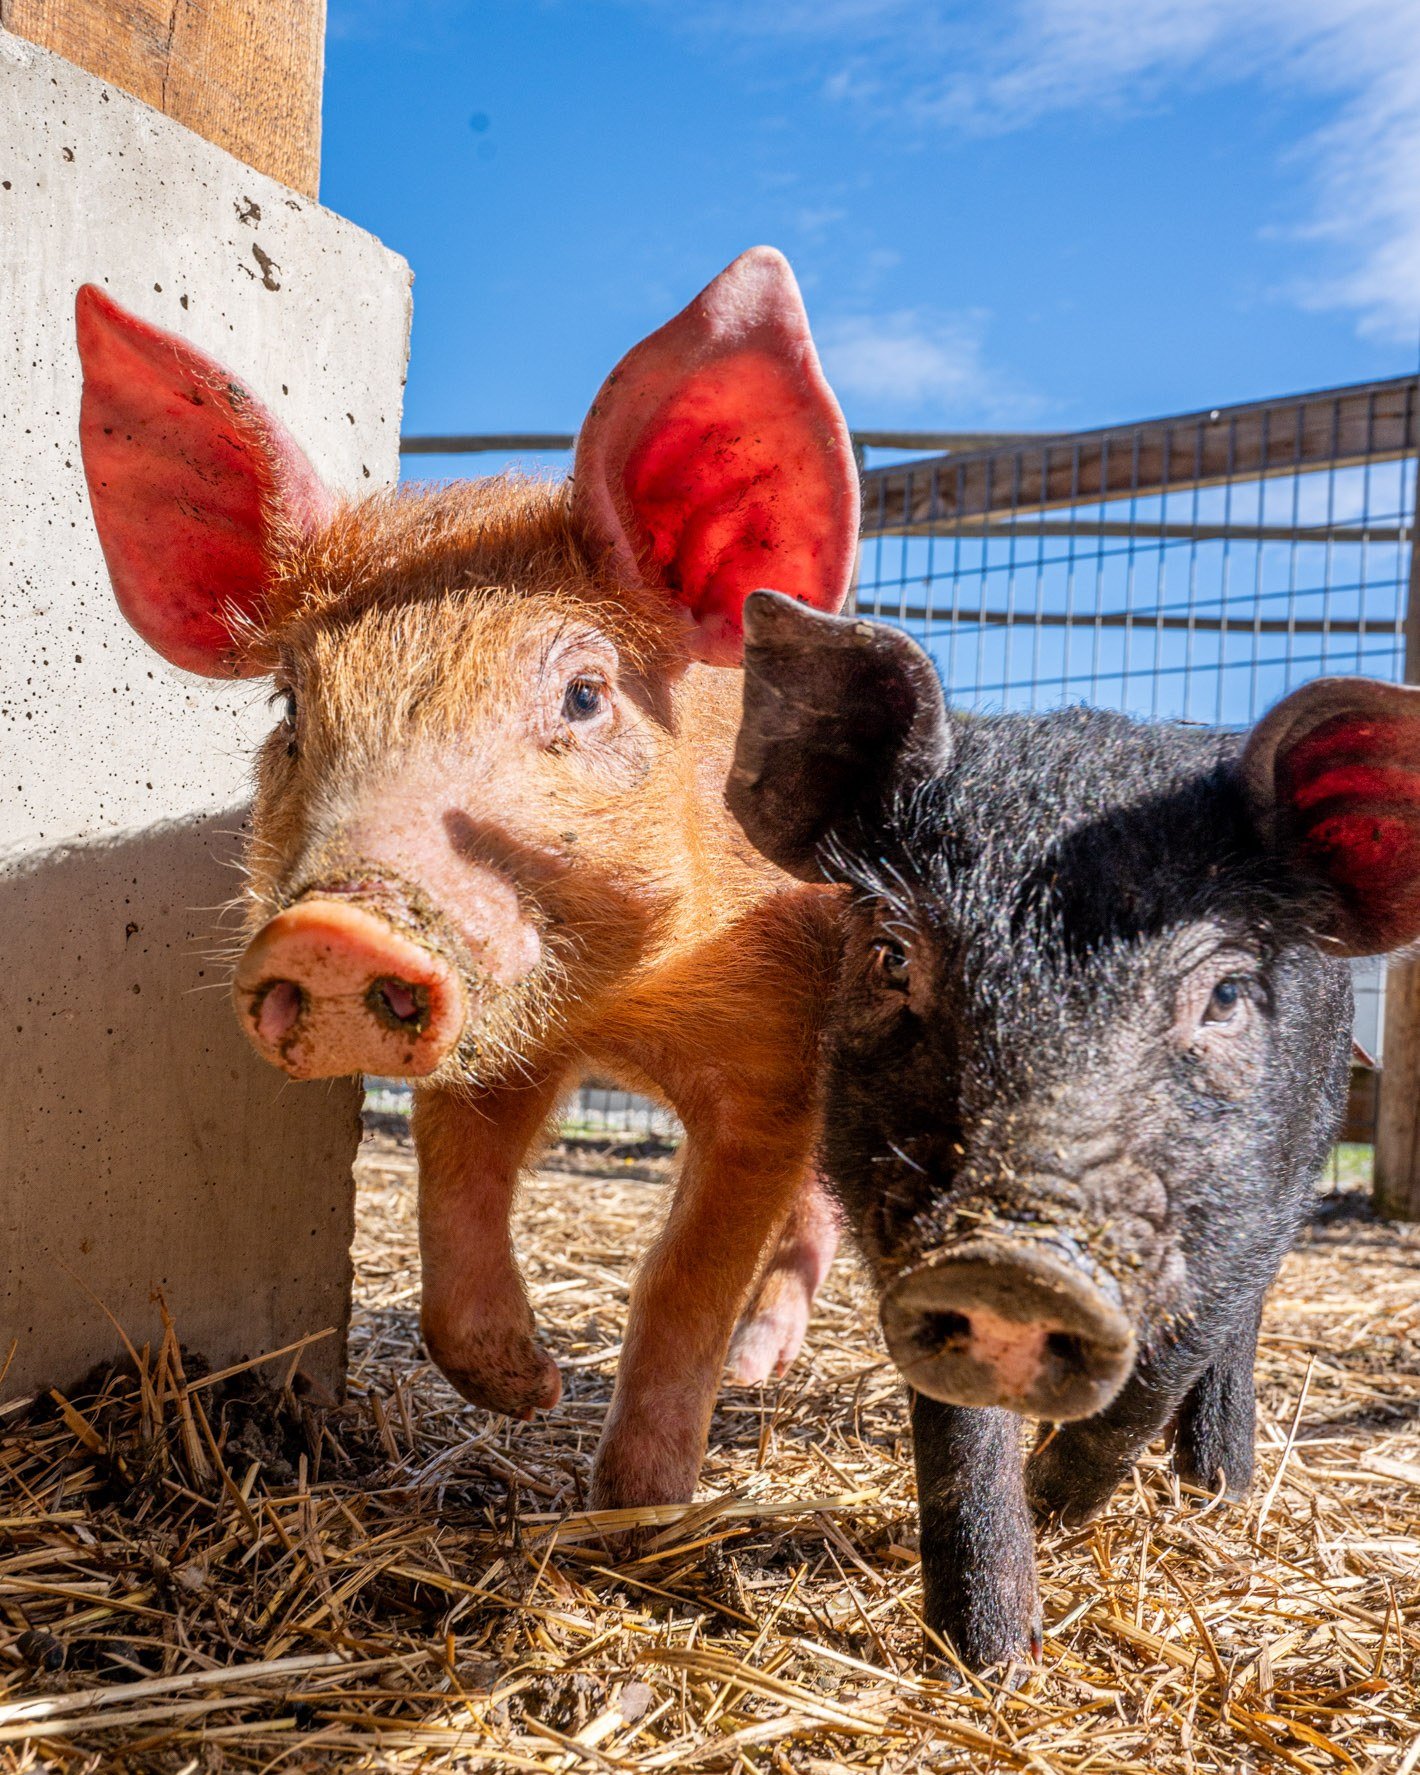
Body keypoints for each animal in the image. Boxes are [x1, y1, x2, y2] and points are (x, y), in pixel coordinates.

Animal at [727, 589, 1412, 1668]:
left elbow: (1164, 1365)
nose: (1013, 1263)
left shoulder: (1256, 1208)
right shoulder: (902, 1231)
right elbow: (958, 1438)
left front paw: (1055, 1503)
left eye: (1224, 994)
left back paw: (1217, 1488)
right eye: (892, 956)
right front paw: (992, 1660)